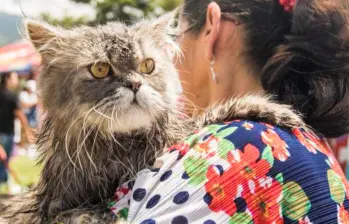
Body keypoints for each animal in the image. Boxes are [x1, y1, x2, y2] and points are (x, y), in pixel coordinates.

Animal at [0, 14, 304, 224]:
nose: (134, 84)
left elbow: (211, 115)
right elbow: (75, 213)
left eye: (147, 66)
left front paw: (268, 109)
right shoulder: (52, 204)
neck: (121, 151)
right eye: (100, 69)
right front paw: (98, 215)